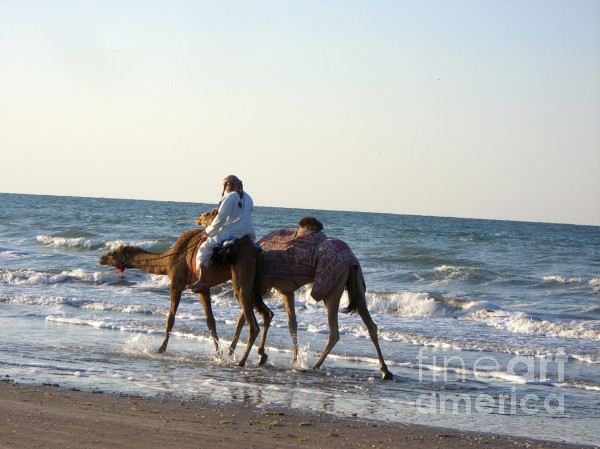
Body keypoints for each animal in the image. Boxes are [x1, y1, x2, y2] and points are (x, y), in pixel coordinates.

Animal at [99, 228, 274, 368]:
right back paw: (260, 356)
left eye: (113, 253)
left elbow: (170, 318)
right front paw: (218, 354)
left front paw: (161, 349)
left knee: (251, 319)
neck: (168, 259)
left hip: (242, 272)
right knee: (266, 313)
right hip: (256, 283)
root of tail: (256, 253)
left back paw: (242, 361)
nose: (101, 258)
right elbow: (210, 321)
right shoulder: (203, 288)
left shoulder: (176, 283)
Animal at [197, 210, 394, 378]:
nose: (198, 218)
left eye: (207, 215)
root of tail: (351, 259)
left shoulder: (261, 286)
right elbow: (292, 324)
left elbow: (244, 318)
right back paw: (385, 370)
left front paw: (238, 353)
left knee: (334, 332)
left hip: (332, 289)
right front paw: (291, 359)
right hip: (356, 287)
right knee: (371, 325)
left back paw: (315, 366)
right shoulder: (286, 290)